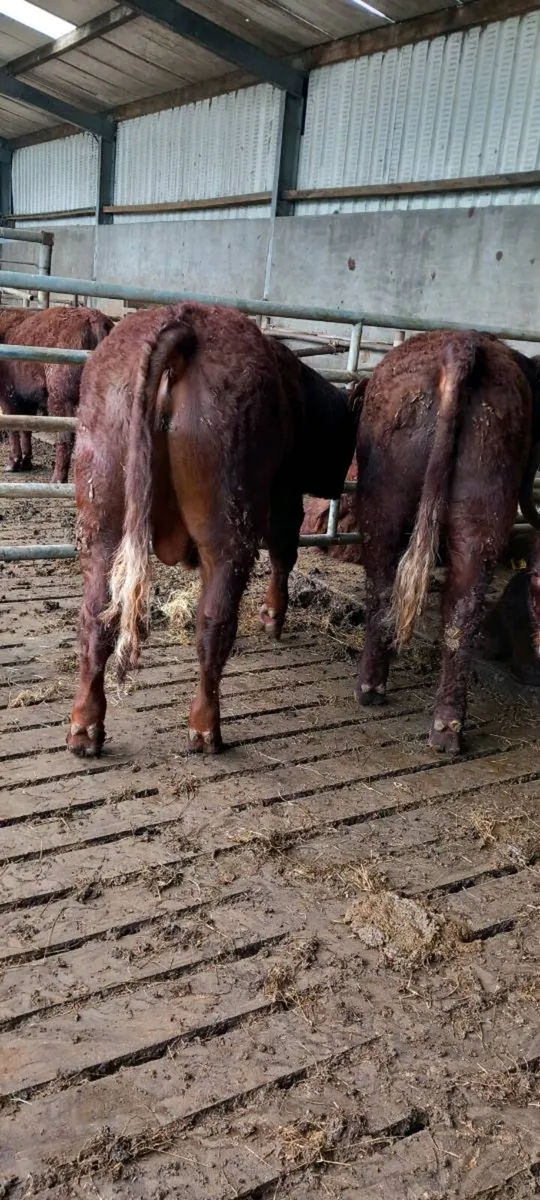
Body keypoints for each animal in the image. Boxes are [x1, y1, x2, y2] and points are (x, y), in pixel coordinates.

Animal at [0, 305, 113, 480]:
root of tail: (94, 318)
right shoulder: (28, 399)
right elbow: (26, 427)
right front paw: (26, 461)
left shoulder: (8, 395)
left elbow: (13, 427)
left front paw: (13, 463)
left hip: (60, 398)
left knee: (65, 436)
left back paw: (58, 478)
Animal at [66, 302, 360, 759]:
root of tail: (184, 324)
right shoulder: (284, 492)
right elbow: (284, 550)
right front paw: (273, 618)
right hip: (228, 532)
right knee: (214, 623)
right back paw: (206, 729)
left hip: (104, 521)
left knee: (97, 616)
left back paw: (85, 727)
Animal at [354, 330, 540, 755]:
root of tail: (462, 345)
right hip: (480, 502)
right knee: (462, 610)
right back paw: (447, 726)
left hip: (383, 501)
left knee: (382, 587)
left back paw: (371, 686)